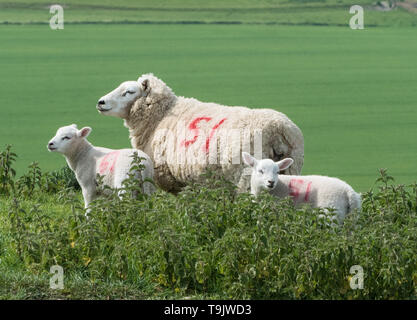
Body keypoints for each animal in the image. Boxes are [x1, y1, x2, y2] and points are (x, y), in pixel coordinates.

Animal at [96, 73, 304, 192]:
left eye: (129, 92)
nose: (100, 102)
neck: (161, 115)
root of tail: (278, 128)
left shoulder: (173, 180)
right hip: (289, 170)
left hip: (247, 174)